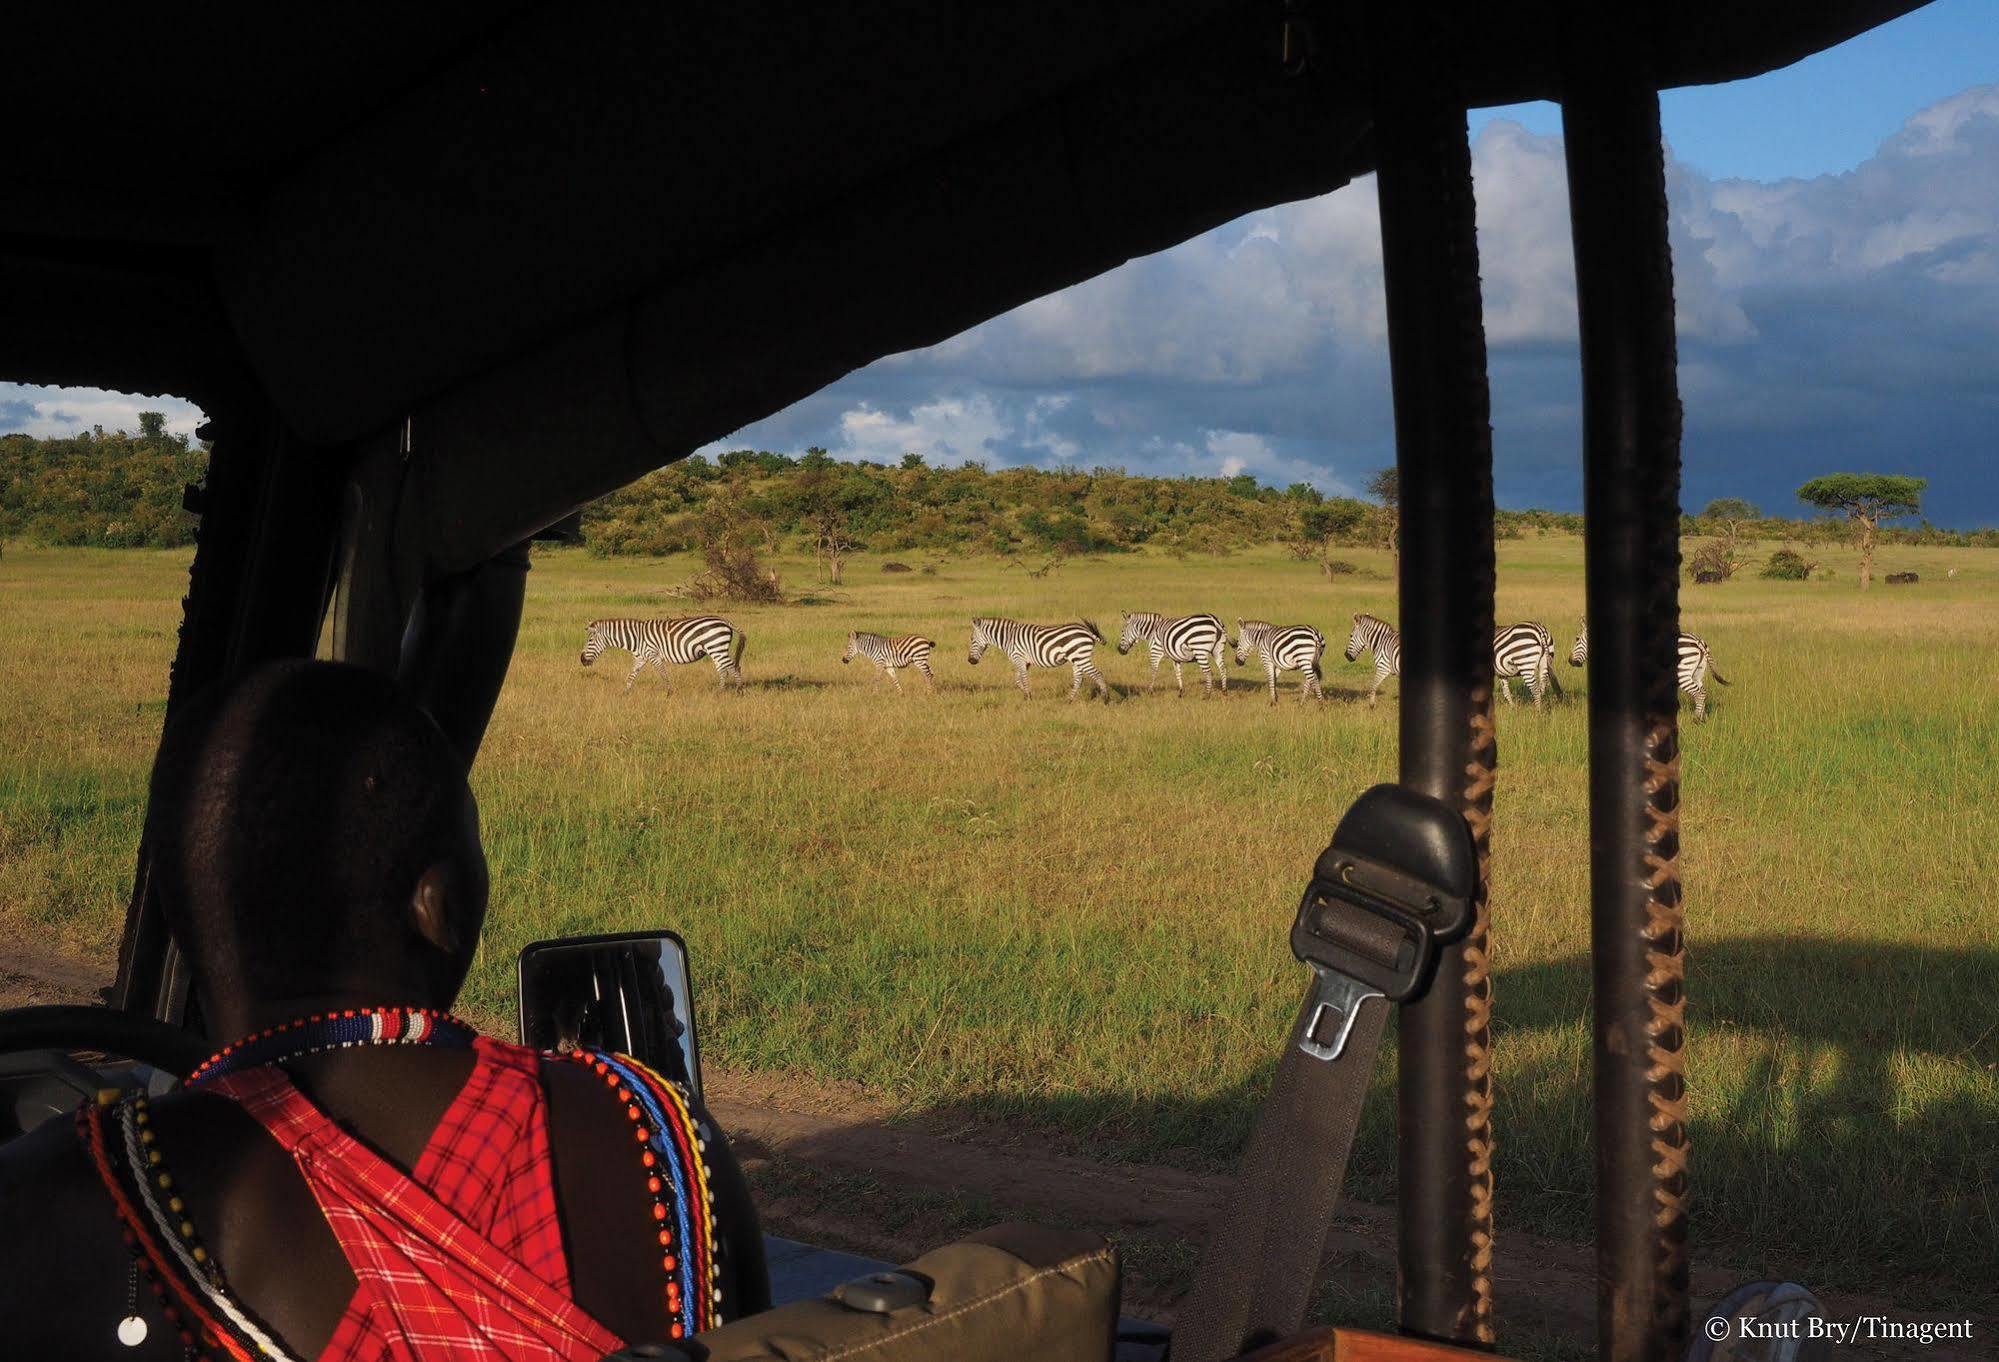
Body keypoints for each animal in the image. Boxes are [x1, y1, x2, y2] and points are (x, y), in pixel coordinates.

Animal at [583, 616, 747, 692]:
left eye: (590, 640)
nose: (582, 660)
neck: (636, 638)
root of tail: (725, 621)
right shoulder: (641, 657)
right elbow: (631, 675)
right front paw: (625, 693)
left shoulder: (652, 654)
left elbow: (663, 673)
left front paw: (669, 693)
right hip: (716, 649)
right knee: (724, 670)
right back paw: (720, 692)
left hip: (716, 647)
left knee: (734, 667)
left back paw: (739, 691)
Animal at [967, 620, 1111, 700]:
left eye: (972, 639)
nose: (970, 661)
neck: (1008, 637)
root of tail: (1087, 631)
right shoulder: (1024, 662)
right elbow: (1018, 679)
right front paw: (1027, 694)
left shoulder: (1019, 658)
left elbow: (1024, 679)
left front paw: (1028, 697)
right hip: (1077, 659)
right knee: (1078, 680)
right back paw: (1069, 700)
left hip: (1081, 657)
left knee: (1098, 674)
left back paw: (1105, 699)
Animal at [1567, 620, 1727, 716]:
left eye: (1576, 638)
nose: (1570, 661)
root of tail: (1698, 641)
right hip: (1697, 672)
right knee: (1702, 691)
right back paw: (1702, 717)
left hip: (1683, 673)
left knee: (1699, 693)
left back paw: (1696, 719)